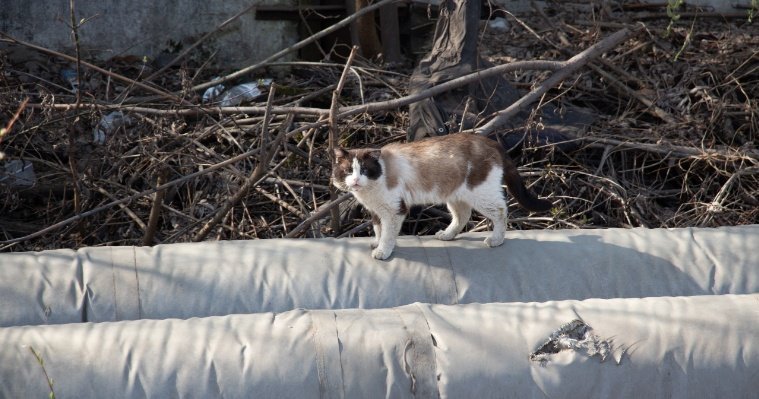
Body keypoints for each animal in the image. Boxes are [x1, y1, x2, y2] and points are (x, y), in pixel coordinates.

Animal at [332, 133, 552, 260]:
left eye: (365, 170)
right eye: (348, 171)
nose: (356, 180)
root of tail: (491, 142)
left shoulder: (394, 211)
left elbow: (388, 235)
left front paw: (382, 252)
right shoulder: (376, 212)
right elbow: (379, 231)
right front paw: (377, 243)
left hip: (481, 194)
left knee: (500, 211)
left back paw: (495, 240)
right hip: (455, 196)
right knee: (463, 216)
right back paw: (447, 235)